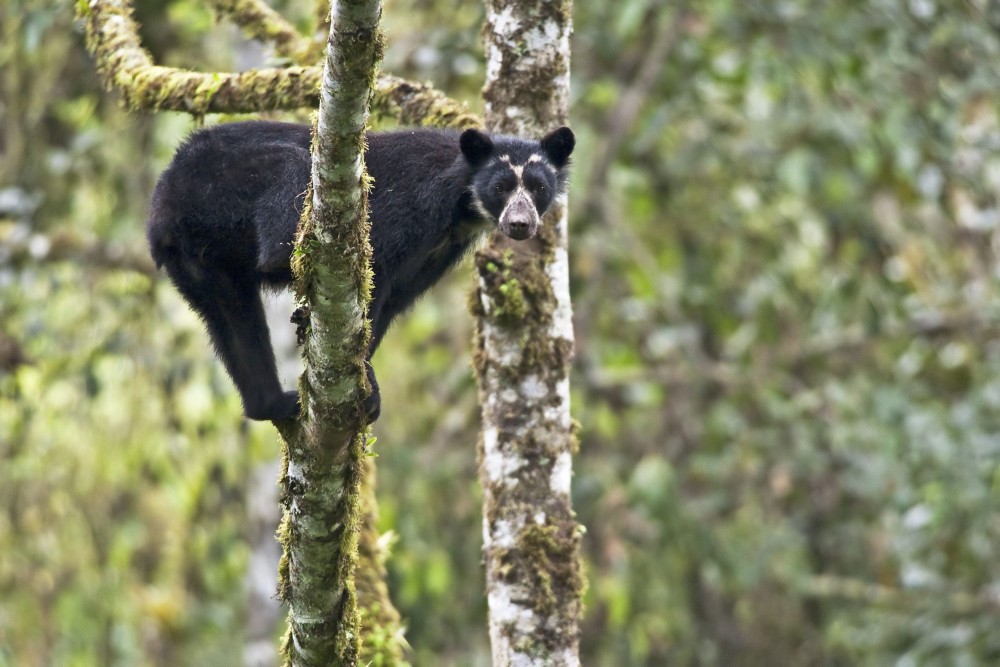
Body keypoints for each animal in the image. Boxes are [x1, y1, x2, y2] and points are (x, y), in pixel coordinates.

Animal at [147, 121, 575, 422]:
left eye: (538, 187)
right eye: (500, 187)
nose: (520, 224)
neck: (460, 209)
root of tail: (165, 198)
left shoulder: (434, 255)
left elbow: (390, 305)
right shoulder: (405, 211)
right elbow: (373, 283)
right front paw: (367, 385)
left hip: (201, 263)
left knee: (234, 322)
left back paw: (272, 403)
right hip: (232, 179)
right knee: (290, 183)